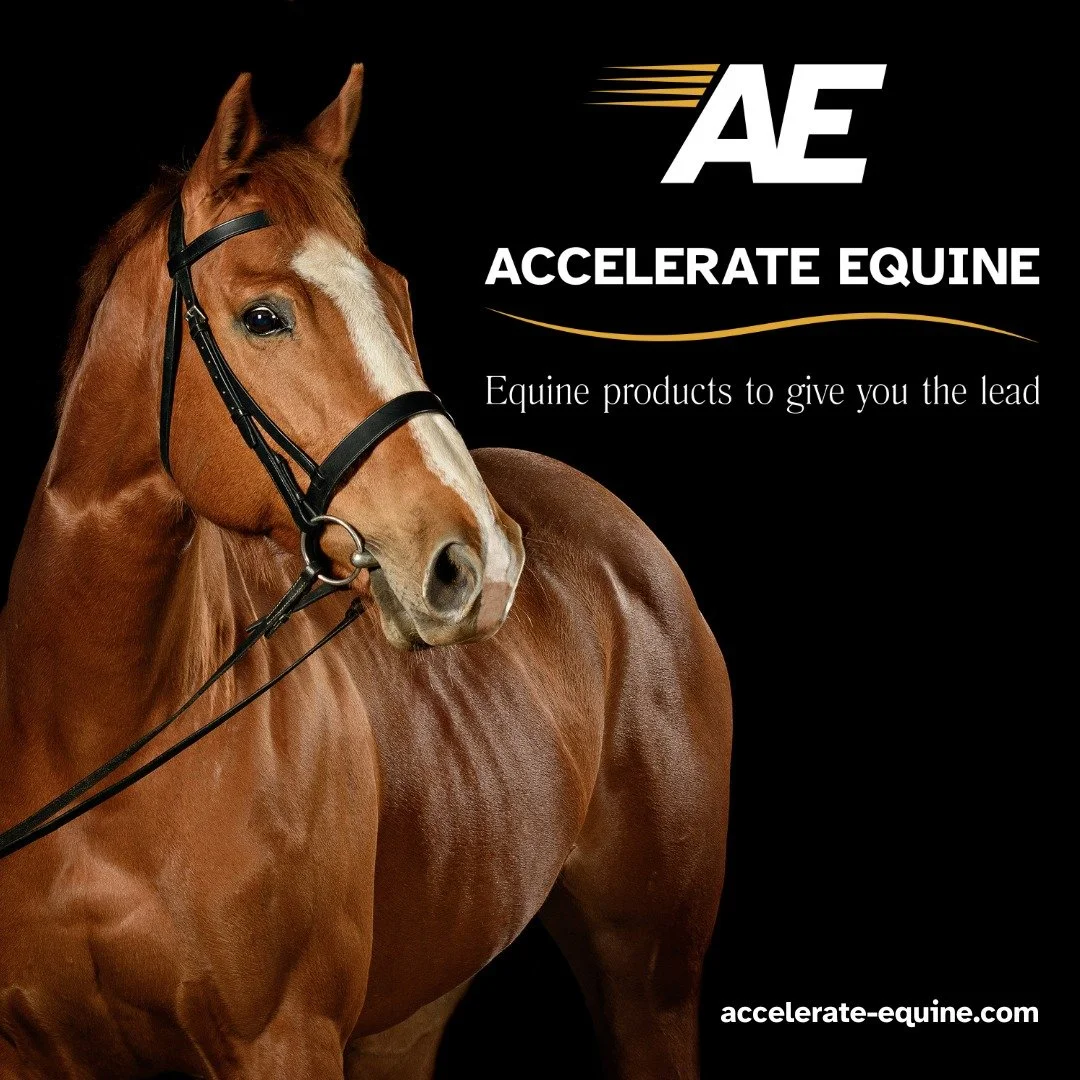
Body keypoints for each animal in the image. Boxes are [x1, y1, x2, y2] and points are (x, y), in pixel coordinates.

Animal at [0, 66, 731, 1079]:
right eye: (263, 317)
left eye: (398, 291)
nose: (482, 561)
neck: (100, 736)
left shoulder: (285, 1040)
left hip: (650, 983)